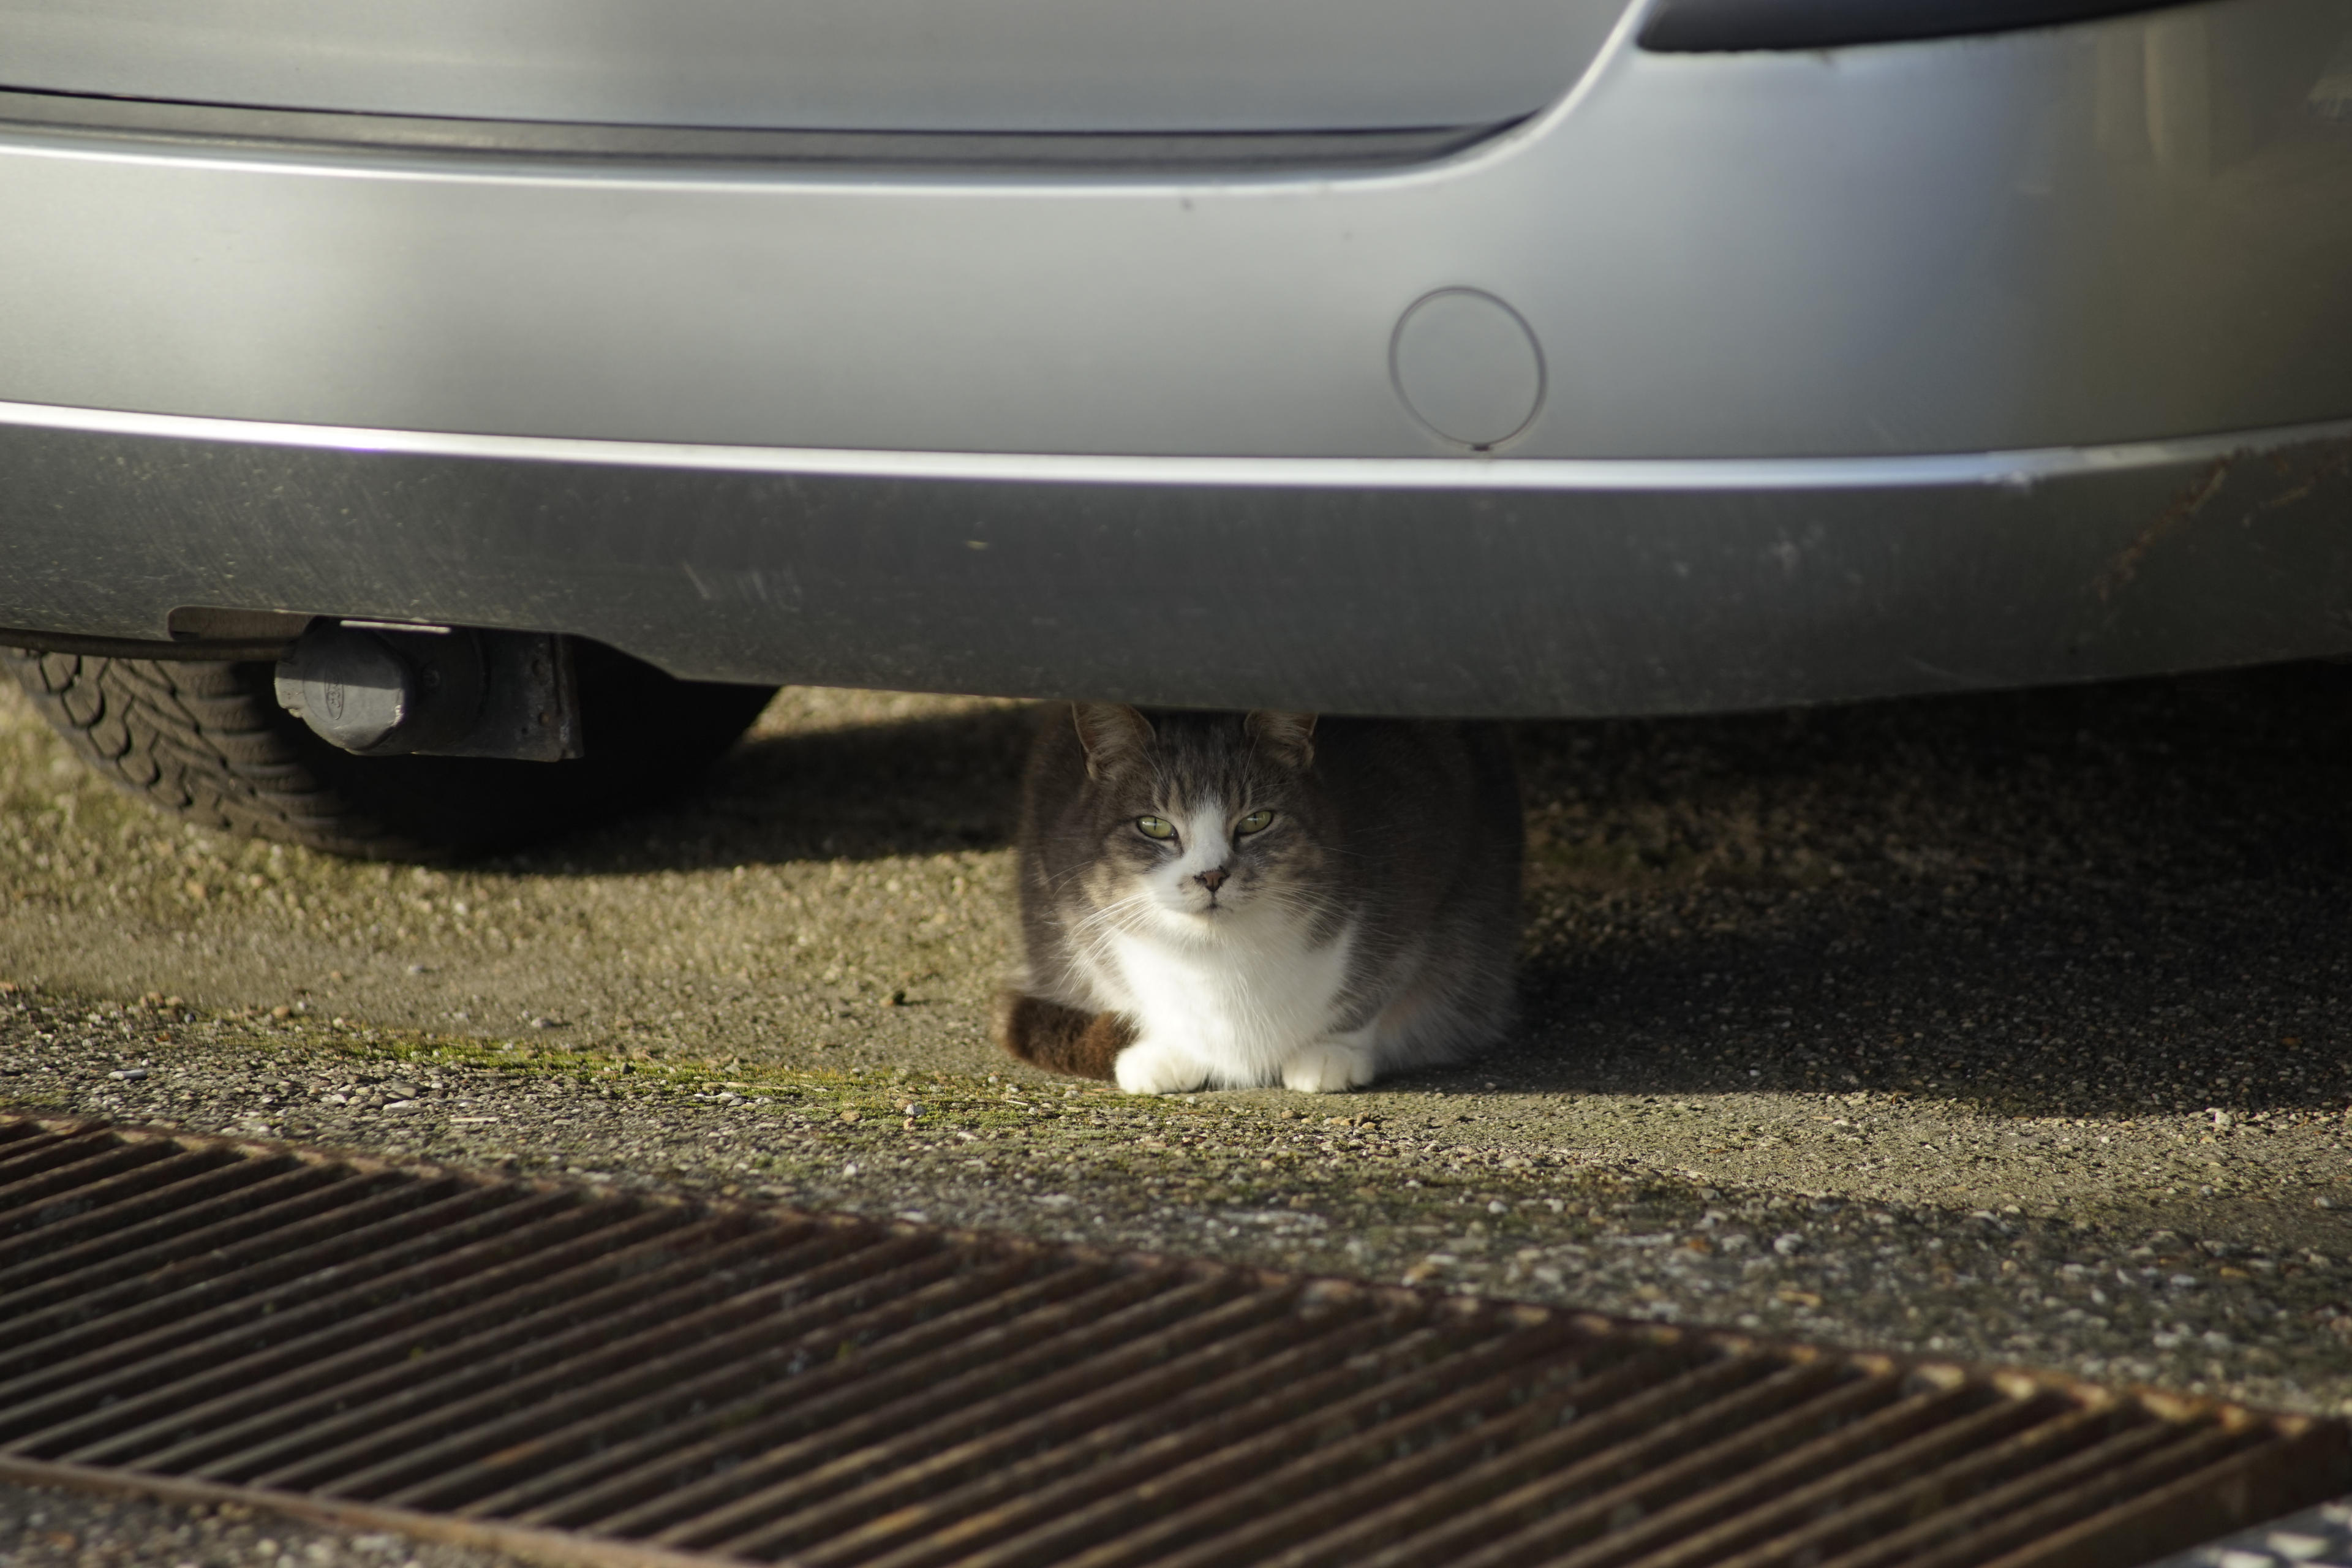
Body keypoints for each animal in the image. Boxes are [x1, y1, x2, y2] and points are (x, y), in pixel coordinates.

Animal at [994, 704, 1521, 1094]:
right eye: (1155, 826)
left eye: (1256, 820)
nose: (1211, 875)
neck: (1218, 961)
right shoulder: (1065, 899)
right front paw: (1168, 1052)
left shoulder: (1424, 884)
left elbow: (1381, 984)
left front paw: (1331, 1053)